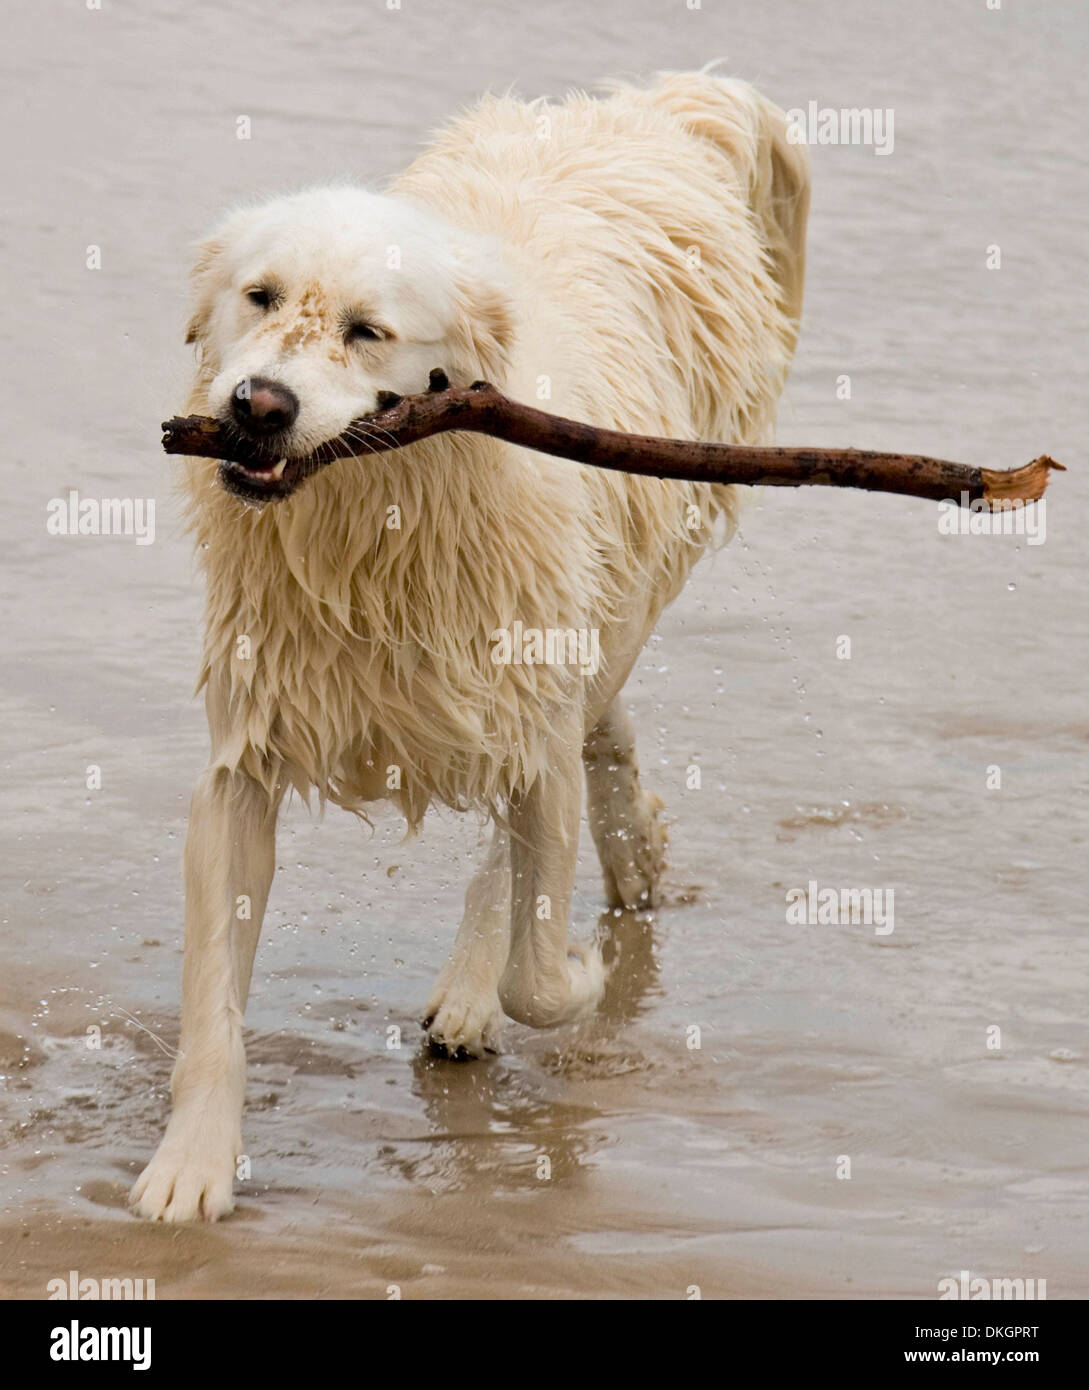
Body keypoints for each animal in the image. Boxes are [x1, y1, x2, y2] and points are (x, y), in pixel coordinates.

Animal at [130, 70, 806, 1223]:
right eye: (260, 295)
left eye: (366, 330)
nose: (257, 407)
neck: (379, 509)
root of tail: (657, 109)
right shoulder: (242, 764)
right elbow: (213, 998)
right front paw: (193, 1168)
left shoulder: (526, 704)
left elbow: (538, 962)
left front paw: (572, 975)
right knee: (598, 735)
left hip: (622, 589)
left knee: (561, 758)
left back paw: (482, 981)